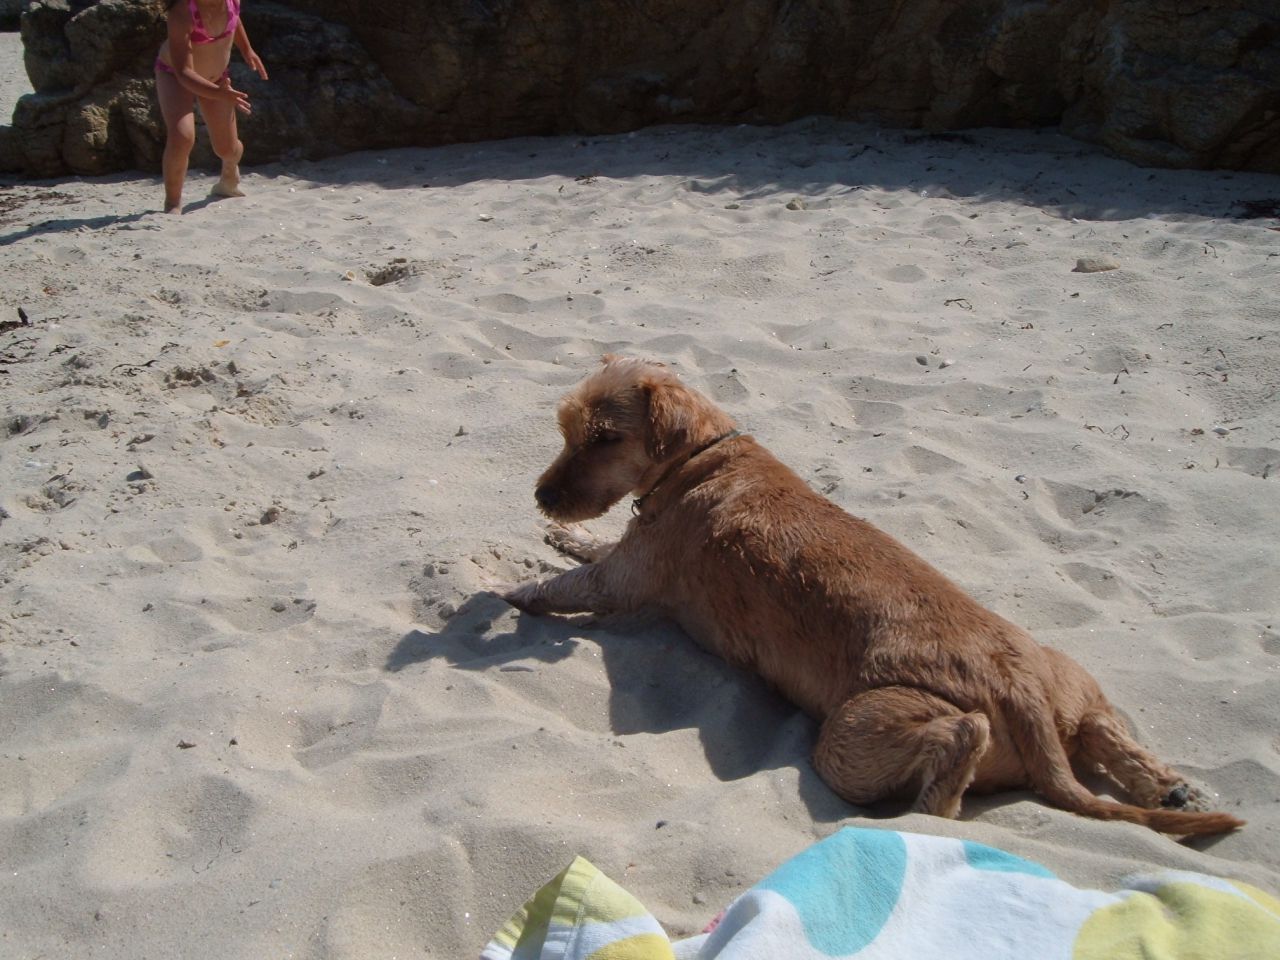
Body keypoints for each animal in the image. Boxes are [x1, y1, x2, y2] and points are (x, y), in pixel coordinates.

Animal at [503, 355, 1244, 835]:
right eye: (567, 430)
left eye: (603, 438)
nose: (542, 496)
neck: (702, 460)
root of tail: (1022, 695)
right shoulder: (631, 557)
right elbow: (592, 550)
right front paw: (562, 537)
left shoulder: (630, 576)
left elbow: (571, 582)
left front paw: (516, 589)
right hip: (1070, 679)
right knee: (1107, 731)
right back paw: (1173, 789)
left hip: (853, 734)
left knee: (958, 746)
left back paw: (920, 820)